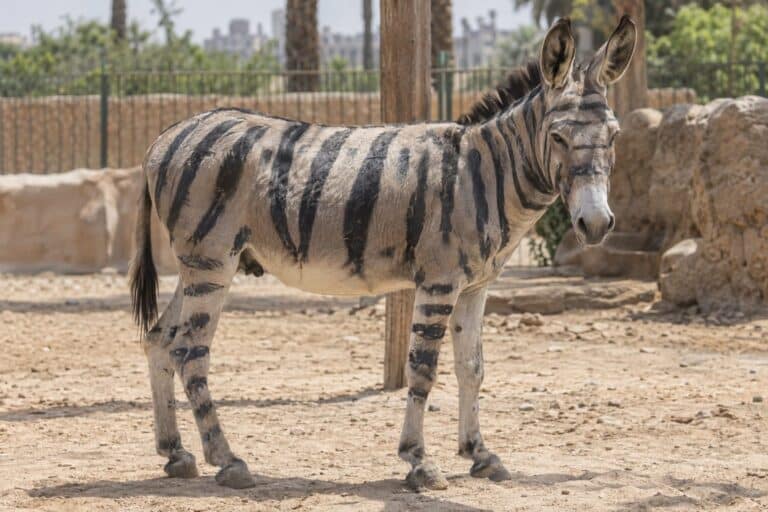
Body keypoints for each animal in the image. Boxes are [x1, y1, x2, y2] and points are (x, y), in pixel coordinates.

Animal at [129, 17, 636, 490]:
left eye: (613, 136)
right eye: (558, 137)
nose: (595, 224)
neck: (485, 174)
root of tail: (163, 137)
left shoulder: (476, 286)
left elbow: (472, 368)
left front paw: (479, 453)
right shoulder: (439, 281)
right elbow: (423, 371)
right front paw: (419, 461)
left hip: (200, 264)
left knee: (159, 339)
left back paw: (175, 452)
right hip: (213, 259)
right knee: (190, 351)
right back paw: (227, 459)